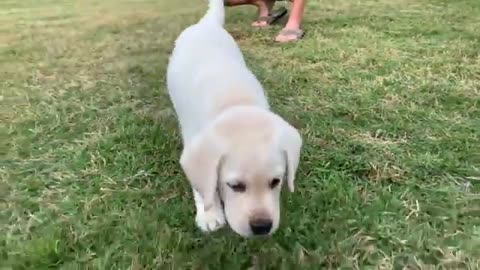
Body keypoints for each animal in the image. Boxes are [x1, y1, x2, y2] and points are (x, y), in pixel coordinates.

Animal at [167, 0, 302, 236]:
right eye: (235, 186)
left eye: (275, 182)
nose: (262, 227)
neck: (235, 104)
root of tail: (206, 24)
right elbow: (203, 187)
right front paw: (209, 214)